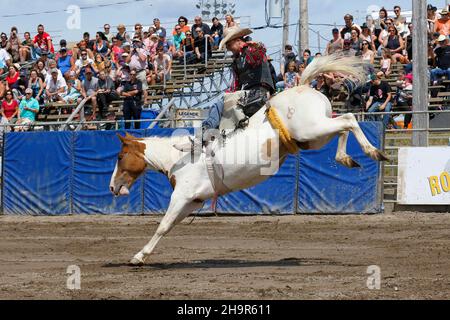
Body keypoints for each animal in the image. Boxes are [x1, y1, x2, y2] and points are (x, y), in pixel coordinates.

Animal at [110, 55, 390, 264]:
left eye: (121, 156)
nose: (112, 187)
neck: (178, 158)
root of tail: (304, 85)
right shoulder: (192, 202)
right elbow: (167, 227)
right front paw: (142, 255)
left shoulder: (181, 196)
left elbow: (162, 224)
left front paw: (137, 257)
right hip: (313, 137)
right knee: (343, 127)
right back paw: (347, 158)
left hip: (311, 130)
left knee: (349, 119)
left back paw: (373, 152)